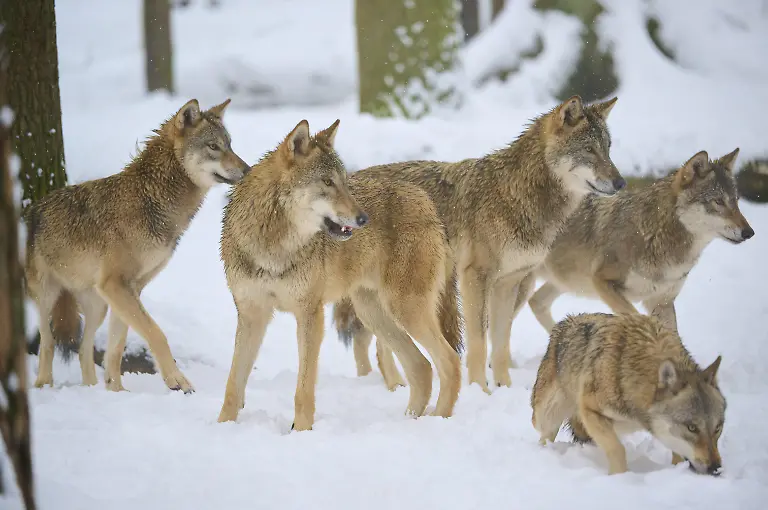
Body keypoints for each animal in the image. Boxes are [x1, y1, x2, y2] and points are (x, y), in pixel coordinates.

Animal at [24, 99, 249, 393]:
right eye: (213, 146)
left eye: (230, 144)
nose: (248, 170)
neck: (153, 199)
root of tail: (35, 208)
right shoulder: (117, 284)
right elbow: (156, 333)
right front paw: (177, 381)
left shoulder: (131, 288)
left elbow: (116, 348)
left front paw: (117, 391)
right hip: (48, 297)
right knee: (47, 344)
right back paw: (43, 385)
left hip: (98, 306)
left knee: (84, 350)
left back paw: (91, 389)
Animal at [217, 119, 462, 431]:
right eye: (327, 182)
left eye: (344, 182)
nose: (363, 219)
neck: (273, 245)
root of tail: (429, 206)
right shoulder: (251, 314)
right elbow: (233, 385)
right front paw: (222, 426)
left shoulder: (310, 314)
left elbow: (303, 389)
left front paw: (302, 432)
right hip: (373, 313)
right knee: (421, 367)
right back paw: (409, 421)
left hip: (404, 310)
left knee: (449, 362)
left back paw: (438, 420)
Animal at [333, 95, 625, 391]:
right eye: (588, 149)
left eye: (608, 149)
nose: (621, 182)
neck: (517, 196)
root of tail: (353, 176)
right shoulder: (475, 277)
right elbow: (479, 343)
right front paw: (479, 389)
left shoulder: (508, 282)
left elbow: (501, 345)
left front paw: (503, 388)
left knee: (384, 347)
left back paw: (398, 388)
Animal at [528, 148, 754, 334]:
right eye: (718, 202)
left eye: (736, 201)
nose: (749, 232)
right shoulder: (603, 282)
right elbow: (639, 320)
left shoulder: (662, 302)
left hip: (563, 283)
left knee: (536, 302)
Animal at [531, 312, 726, 476]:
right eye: (692, 428)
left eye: (717, 428)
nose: (716, 469)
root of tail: (565, 322)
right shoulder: (589, 410)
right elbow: (618, 449)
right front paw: (620, 477)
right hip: (547, 417)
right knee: (544, 435)